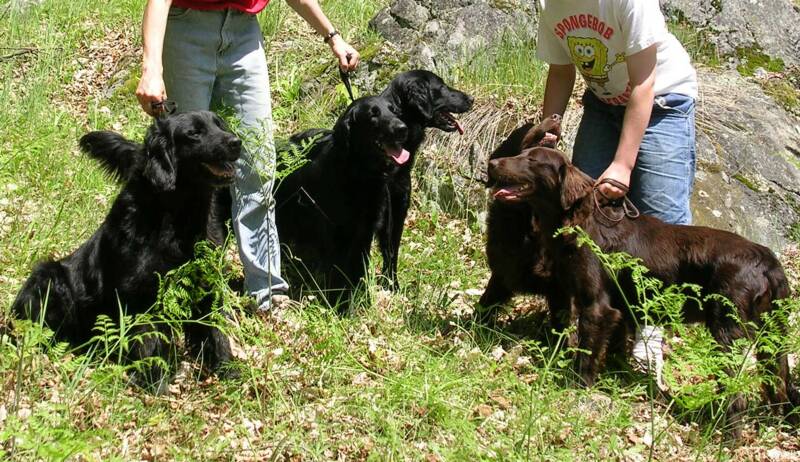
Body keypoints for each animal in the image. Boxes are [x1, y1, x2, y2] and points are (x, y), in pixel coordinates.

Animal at [11, 112, 241, 390]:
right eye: (194, 133)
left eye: (220, 125)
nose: (236, 142)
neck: (177, 216)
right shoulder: (142, 295)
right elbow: (150, 343)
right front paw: (156, 386)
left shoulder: (207, 284)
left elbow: (216, 333)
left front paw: (228, 372)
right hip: (49, 276)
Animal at [276, 95, 410, 308]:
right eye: (373, 114)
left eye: (394, 110)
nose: (402, 129)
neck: (359, 176)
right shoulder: (338, 235)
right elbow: (339, 275)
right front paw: (341, 306)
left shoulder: (364, 233)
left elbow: (357, 271)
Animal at [488, 145, 800, 436]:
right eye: (522, 153)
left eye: (531, 160)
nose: (492, 163)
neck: (580, 220)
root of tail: (768, 261)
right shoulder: (620, 309)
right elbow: (613, 348)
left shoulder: (596, 306)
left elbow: (586, 355)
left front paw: (578, 388)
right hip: (772, 336)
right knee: (780, 382)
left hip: (726, 331)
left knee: (737, 392)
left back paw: (728, 437)